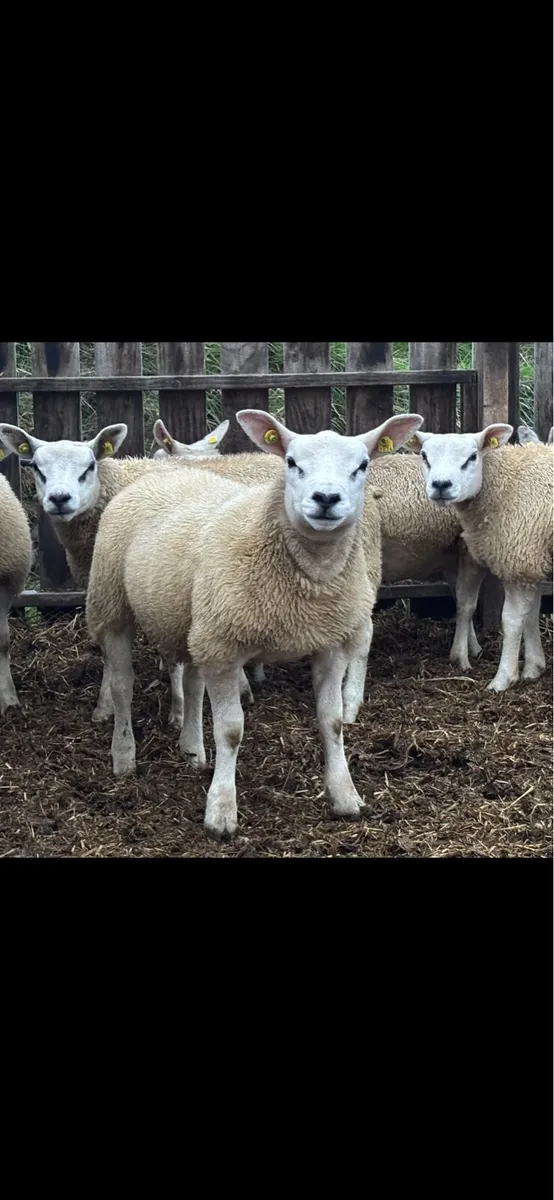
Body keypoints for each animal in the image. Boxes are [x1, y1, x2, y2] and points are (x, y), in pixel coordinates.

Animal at [86, 409, 424, 839]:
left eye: (362, 465)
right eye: (291, 462)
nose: (326, 499)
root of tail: (164, 471)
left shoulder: (327, 643)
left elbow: (331, 722)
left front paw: (345, 796)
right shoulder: (225, 649)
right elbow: (230, 730)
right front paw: (220, 812)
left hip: (194, 621)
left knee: (192, 683)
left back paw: (192, 749)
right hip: (112, 602)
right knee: (122, 684)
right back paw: (124, 757)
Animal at [412, 424, 553, 692]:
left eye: (472, 457)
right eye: (424, 456)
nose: (441, 484)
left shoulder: (518, 558)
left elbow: (511, 621)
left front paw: (504, 679)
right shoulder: (530, 560)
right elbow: (531, 615)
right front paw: (533, 668)